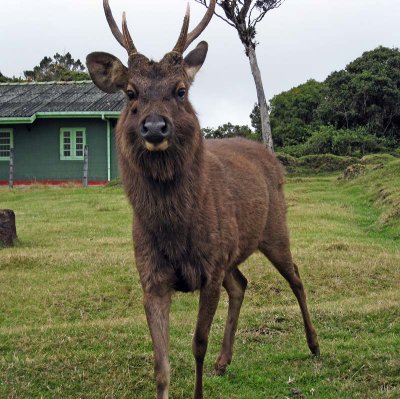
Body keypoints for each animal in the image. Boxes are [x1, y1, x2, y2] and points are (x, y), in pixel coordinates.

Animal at [86, 1, 318, 398]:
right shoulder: (152, 276)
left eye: (180, 90)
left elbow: (197, 344)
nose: (154, 127)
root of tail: (269, 157)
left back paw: (315, 345)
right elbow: (161, 365)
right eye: (130, 92)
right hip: (231, 252)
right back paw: (224, 362)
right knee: (241, 284)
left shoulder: (210, 268)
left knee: (297, 276)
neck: (175, 231)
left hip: (274, 229)